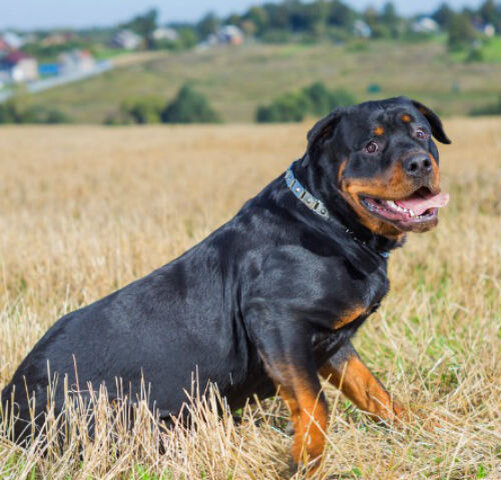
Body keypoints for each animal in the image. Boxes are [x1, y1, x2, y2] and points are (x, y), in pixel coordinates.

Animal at [1, 96, 450, 472]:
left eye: (421, 134)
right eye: (370, 147)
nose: (420, 163)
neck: (330, 222)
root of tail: (10, 399)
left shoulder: (333, 342)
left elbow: (374, 391)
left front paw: (419, 428)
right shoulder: (278, 321)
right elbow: (315, 404)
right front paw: (305, 461)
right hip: (119, 419)